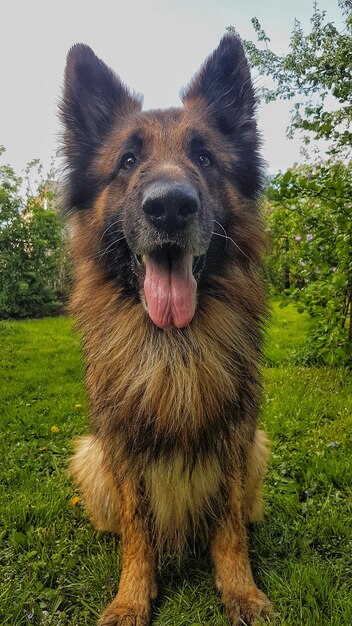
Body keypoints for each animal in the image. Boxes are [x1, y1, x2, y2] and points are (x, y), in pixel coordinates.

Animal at [60, 34, 272, 624]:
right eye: (128, 161)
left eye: (204, 157)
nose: (171, 207)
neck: (173, 347)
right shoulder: (121, 443)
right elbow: (138, 527)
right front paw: (133, 596)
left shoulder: (234, 435)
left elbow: (228, 525)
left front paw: (241, 591)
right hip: (90, 456)